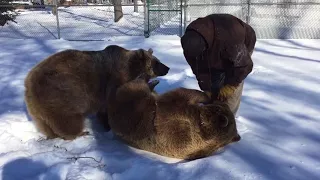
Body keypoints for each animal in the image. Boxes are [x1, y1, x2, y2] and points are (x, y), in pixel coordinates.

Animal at [24, 45, 170, 141]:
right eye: (156, 62)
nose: (168, 68)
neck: (133, 69)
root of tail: (29, 83)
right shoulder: (115, 80)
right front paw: (109, 125)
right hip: (63, 92)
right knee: (67, 118)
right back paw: (79, 133)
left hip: (40, 107)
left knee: (45, 123)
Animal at [106, 78, 241, 160]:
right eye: (218, 106)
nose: (218, 101)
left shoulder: (173, 117)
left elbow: (181, 94)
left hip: (129, 103)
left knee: (133, 86)